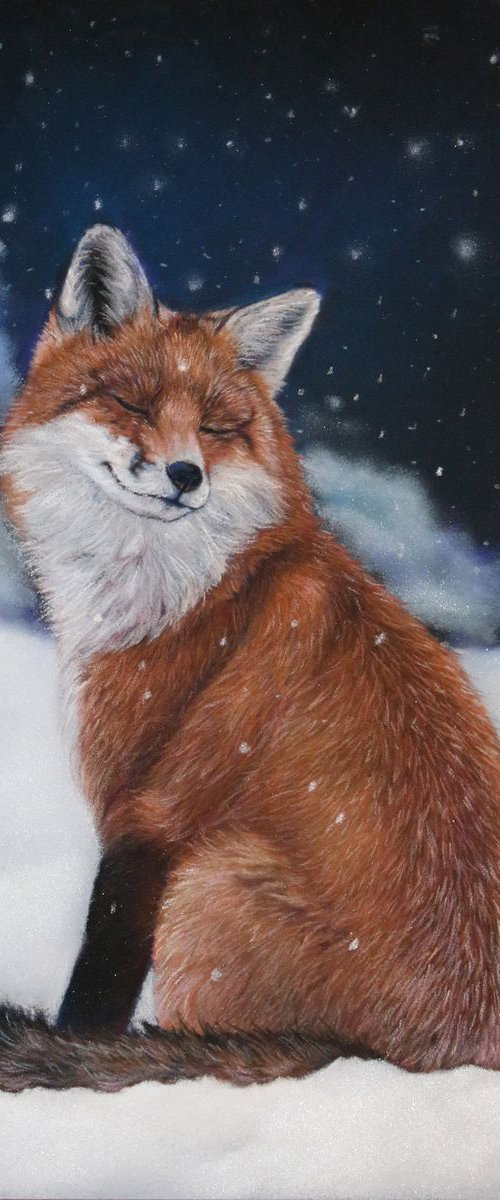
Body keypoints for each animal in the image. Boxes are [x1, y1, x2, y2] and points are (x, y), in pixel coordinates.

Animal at [0, 223, 500, 1093]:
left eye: (216, 427)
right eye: (132, 404)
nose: (184, 474)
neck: (187, 589)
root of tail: (423, 1061)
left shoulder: (146, 816)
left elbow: (94, 995)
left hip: (207, 883)